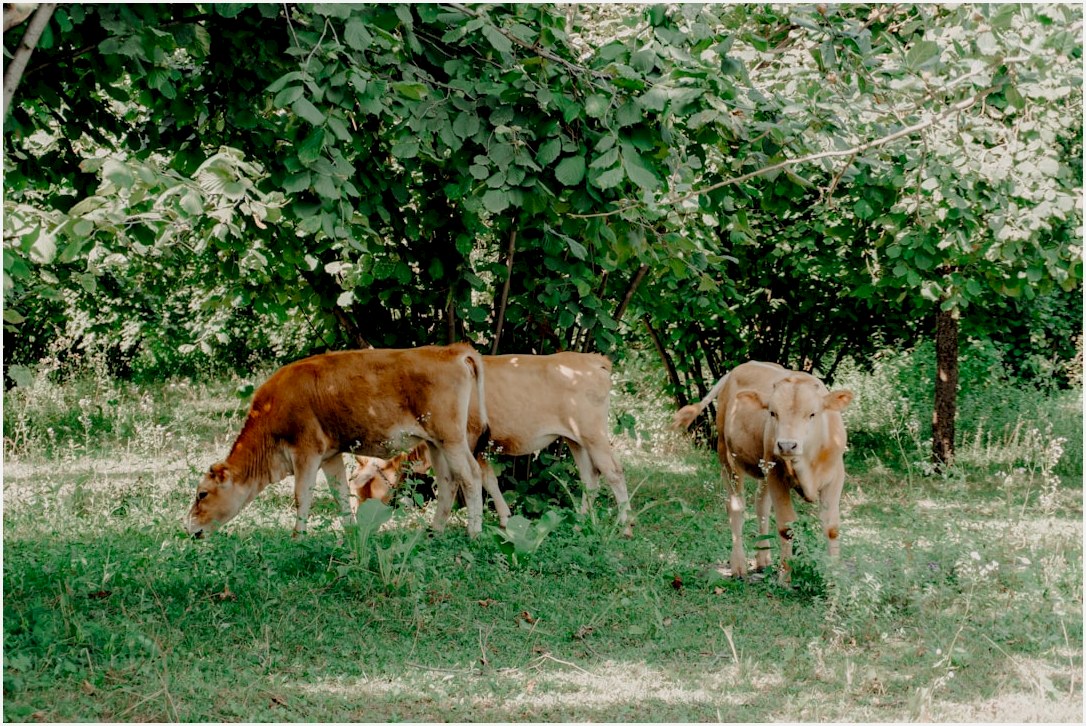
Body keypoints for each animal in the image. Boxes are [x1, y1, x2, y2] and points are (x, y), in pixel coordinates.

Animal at [184, 343, 491, 539]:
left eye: (202, 494)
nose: (188, 529)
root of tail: (451, 349)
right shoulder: (330, 455)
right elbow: (341, 493)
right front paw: (349, 533)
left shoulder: (306, 451)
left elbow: (302, 495)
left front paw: (297, 538)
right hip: (435, 443)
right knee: (449, 481)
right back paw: (434, 530)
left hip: (451, 438)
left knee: (471, 475)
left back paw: (474, 533)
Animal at [350, 352, 632, 536]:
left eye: (367, 486)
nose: (358, 520)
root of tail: (593, 359)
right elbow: (490, 479)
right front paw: (505, 519)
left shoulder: (470, 442)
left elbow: (474, 479)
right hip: (575, 439)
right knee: (589, 477)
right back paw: (583, 521)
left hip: (594, 434)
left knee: (614, 473)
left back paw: (625, 525)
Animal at [671, 361, 853, 581]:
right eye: (773, 413)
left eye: (812, 414)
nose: (786, 445)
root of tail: (740, 368)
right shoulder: (777, 476)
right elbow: (786, 527)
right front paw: (784, 578)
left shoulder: (835, 476)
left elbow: (831, 528)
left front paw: (834, 577)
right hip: (727, 456)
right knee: (736, 507)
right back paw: (739, 565)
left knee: (761, 505)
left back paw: (763, 558)